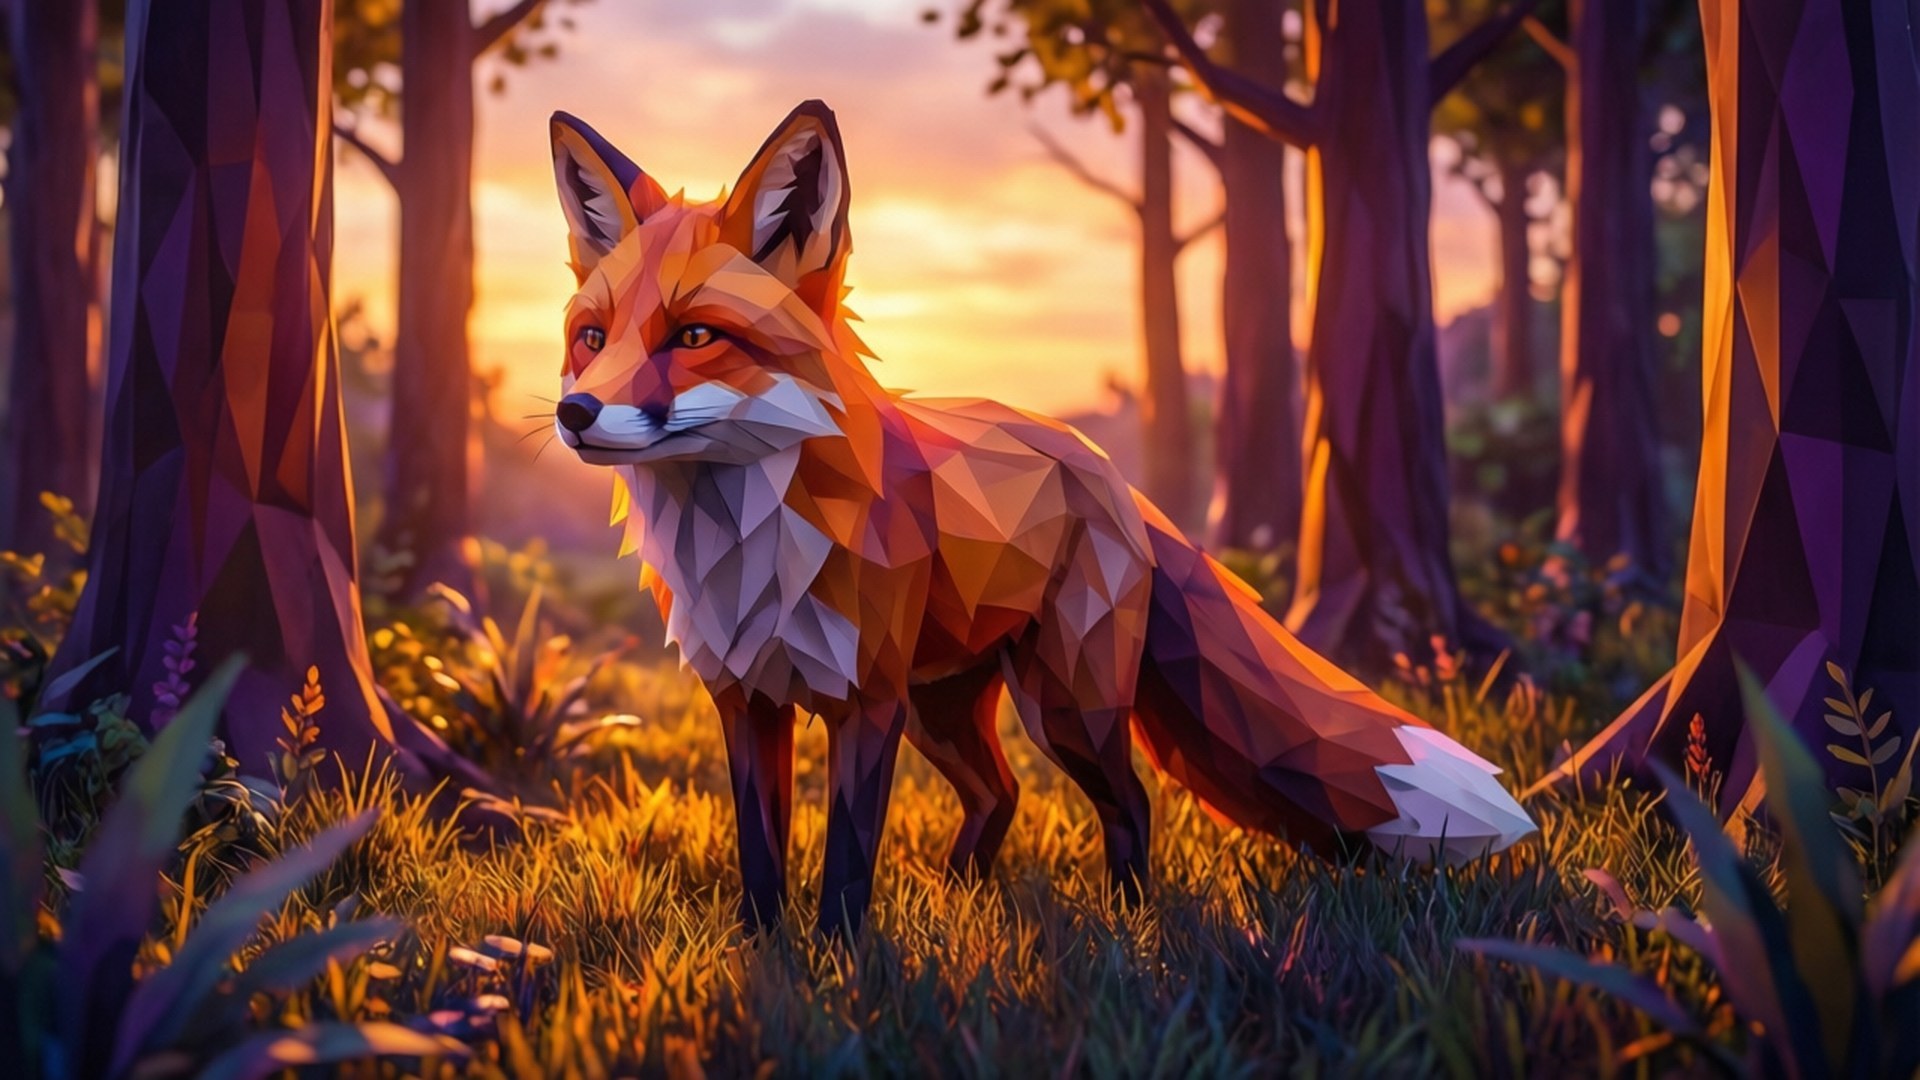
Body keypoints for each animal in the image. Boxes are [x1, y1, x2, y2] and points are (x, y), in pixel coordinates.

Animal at [547, 101, 1535, 937]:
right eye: (592, 340)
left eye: (694, 337)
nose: (574, 414)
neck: (746, 548)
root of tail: (1100, 464)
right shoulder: (746, 698)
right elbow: (760, 860)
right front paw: (767, 961)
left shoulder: (864, 700)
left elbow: (848, 862)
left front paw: (840, 962)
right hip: (945, 708)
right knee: (1001, 797)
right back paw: (961, 904)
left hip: (1062, 704)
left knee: (1128, 802)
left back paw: (1130, 925)